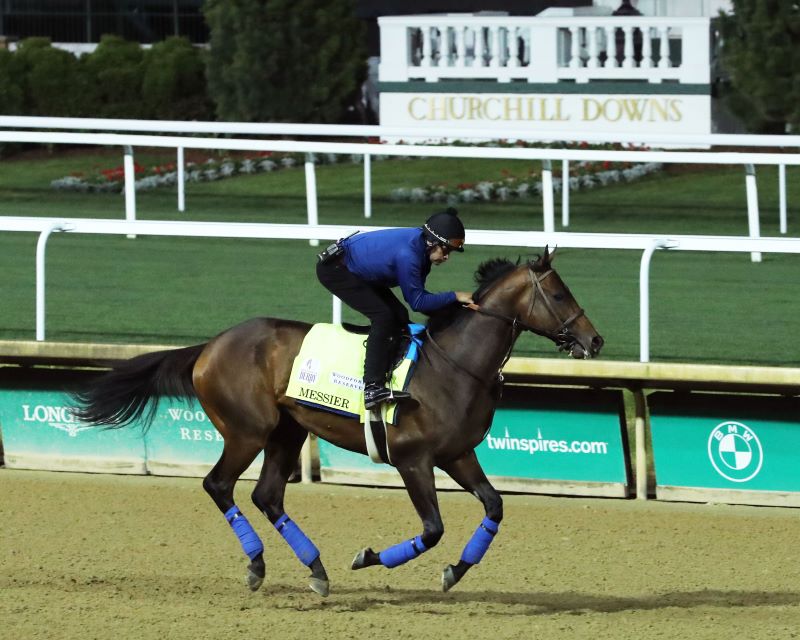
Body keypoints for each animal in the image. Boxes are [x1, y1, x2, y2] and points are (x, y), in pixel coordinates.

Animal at [73, 248, 600, 596]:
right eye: (558, 293)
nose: (594, 341)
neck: (453, 364)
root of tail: (210, 345)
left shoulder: (457, 454)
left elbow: (494, 506)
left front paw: (455, 571)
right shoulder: (413, 459)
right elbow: (431, 529)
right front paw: (368, 558)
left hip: (287, 431)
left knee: (267, 495)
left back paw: (316, 570)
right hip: (247, 430)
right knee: (219, 485)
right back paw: (258, 565)